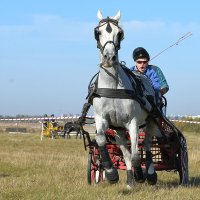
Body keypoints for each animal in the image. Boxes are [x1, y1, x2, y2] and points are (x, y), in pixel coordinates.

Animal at [93, 9, 162, 188]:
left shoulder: (133, 122)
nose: (109, 58)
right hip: (119, 130)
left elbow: (137, 155)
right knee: (126, 152)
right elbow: (101, 139)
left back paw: (149, 175)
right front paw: (111, 173)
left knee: (146, 146)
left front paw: (141, 175)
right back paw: (131, 181)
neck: (113, 87)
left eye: (120, 33)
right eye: (98, 32)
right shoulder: (102, 119)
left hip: (150, 121)